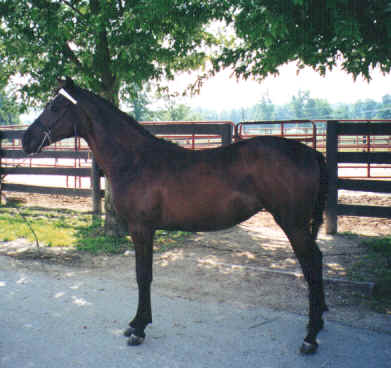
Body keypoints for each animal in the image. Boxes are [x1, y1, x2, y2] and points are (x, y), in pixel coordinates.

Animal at [21, 77, 328, 354]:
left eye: (54, 106)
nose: (26, 139)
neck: (134, 160)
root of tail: (311, 153)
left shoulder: (142, 229)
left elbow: (143, 276)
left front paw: (139, 329)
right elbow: (143, 275)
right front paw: (136, 324)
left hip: (293, 224)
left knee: (313, 265)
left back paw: (310, 338)